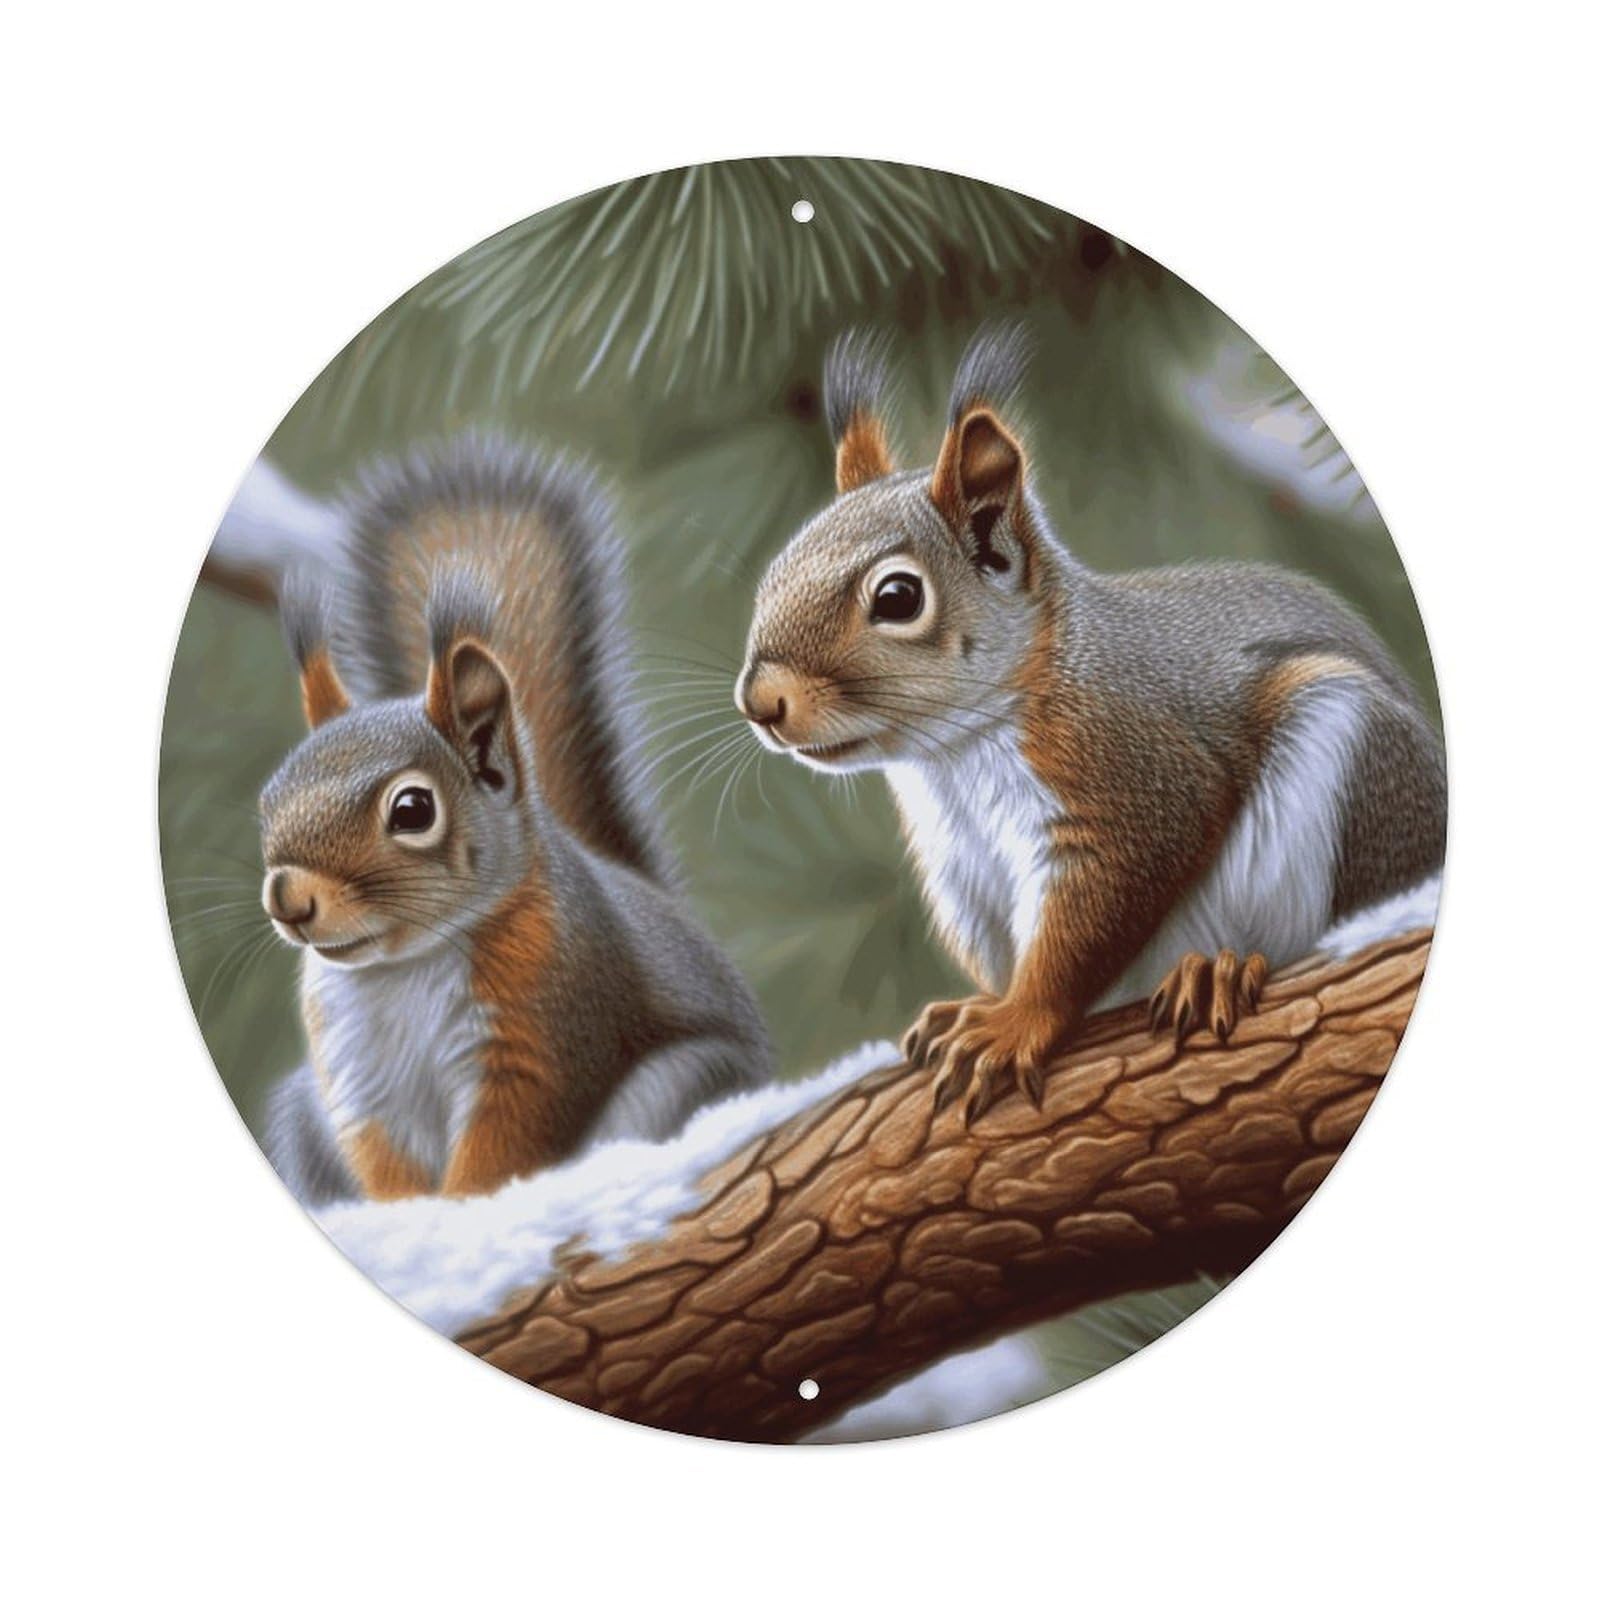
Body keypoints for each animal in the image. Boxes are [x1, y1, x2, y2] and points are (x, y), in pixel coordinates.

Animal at [256, 435, 772, 1205]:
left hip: (681, 1083)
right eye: (266, 802)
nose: (289, 900)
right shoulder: (359, 1083)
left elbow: (501, 1147)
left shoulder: (540, 1033)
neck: (404, 968)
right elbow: (387, 1169)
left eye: (412, 809)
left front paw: (468, 1213)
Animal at [736, 326, 1446, 1123]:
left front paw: (1014, 1022)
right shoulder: (962, 868)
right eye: (772, 573)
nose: (759, 702)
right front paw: (974, 1006)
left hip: (1358, 757)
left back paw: (1219, 969)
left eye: (897, 597)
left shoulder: (1130, 781)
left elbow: (1083, 930)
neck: (956, 753)